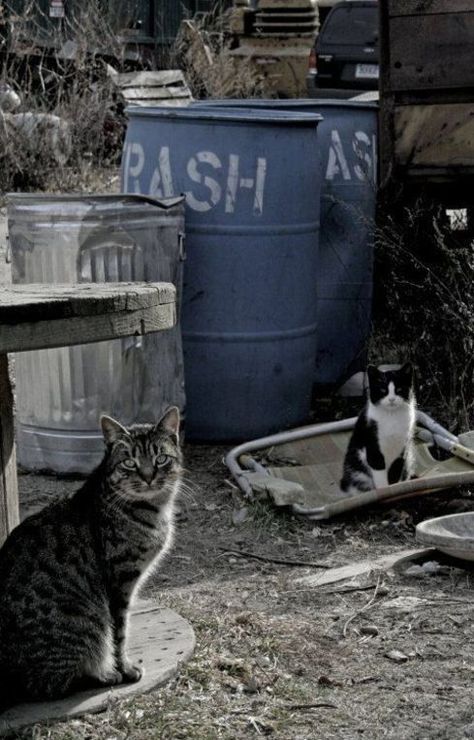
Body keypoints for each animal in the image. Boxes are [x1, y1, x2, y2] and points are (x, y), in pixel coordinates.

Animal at [0, 408, 181, 708]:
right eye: (129, 462)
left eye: (161, 458)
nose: (148, 477)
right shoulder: (120, 583)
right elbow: (120, 633)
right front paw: (125, 668)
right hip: (85, 624)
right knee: (48, 686)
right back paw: (105, 675)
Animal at [340, 362, 414, 494]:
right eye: (383, 390)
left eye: (399, 390)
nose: (391, 399)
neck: (391, 416)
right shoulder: (373, 447)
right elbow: (379, 472)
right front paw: (385, 491)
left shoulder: (402, 450)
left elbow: (395, 472)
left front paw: (395, 489)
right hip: (355, 468)